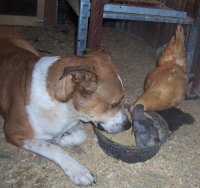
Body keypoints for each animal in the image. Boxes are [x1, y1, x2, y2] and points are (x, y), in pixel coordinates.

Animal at [0, 36, 131, 185]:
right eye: (114, 104)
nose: (128, 125)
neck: (65, 108)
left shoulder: (74, 122)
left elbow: (80, 136)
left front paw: (60, 139)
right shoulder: (13, 133)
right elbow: (52, 148)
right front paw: (77, 169)